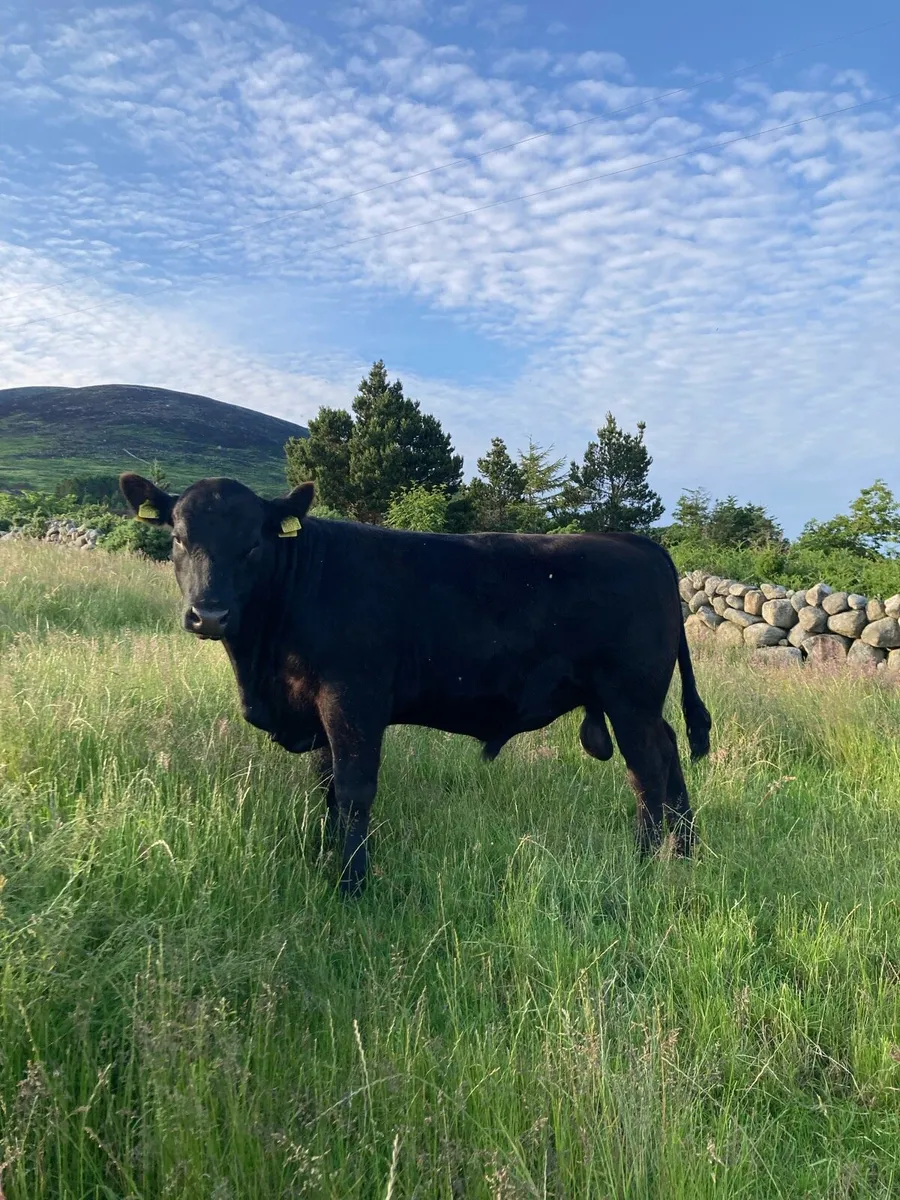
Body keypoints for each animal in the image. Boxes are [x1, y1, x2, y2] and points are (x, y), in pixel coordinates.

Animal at [120, 472, 711, 897]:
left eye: (253, 545)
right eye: (178, 538)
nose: (209, 614)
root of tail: (636, 543)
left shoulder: (352, 699)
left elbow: (354, 790)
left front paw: (351, 885)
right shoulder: (318, 710)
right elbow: (325, 787)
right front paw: (326, 858)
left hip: (629, 699)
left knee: (647, 773)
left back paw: (645, 862)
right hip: (637, 703)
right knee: (669, 751)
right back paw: (685, 853)